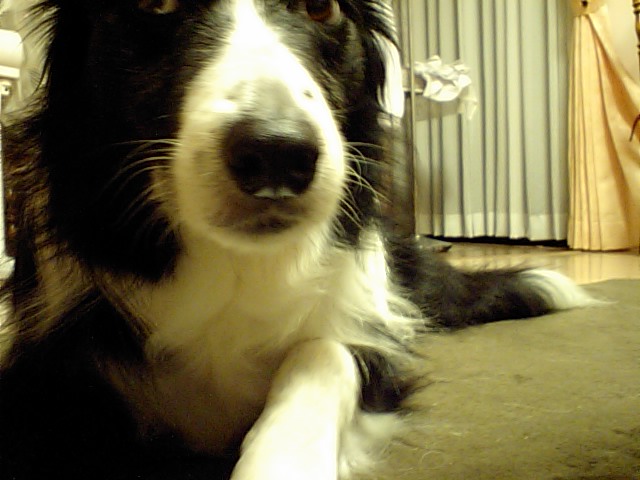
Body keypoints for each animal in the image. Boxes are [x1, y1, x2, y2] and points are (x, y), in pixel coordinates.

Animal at [0, 1, 593, 479]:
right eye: (156, 2)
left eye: (318, 7)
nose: (277, 155)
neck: (238, 263)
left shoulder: (363, 334)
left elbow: (324, 352)